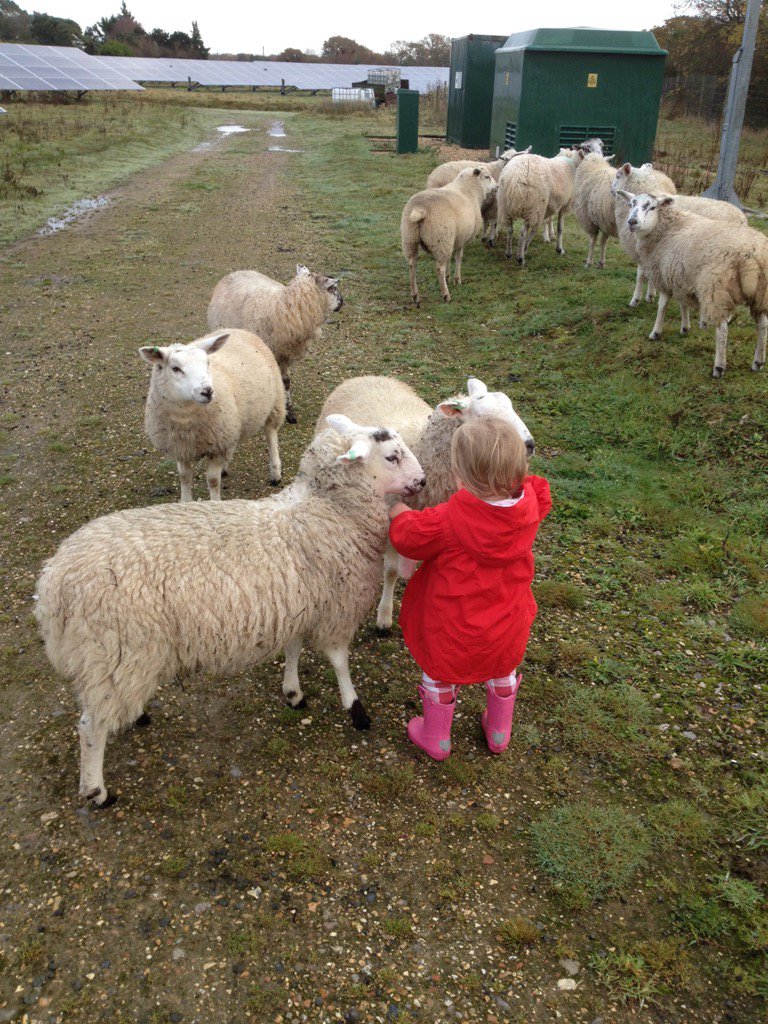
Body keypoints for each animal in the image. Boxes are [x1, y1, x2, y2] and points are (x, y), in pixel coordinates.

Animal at [34, 416, 426, 806]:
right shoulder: (336, 610)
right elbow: (340, 662)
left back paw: (136, 718)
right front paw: (355, 708)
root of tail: (53, 587)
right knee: (91, 727)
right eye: (392, 457)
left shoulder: (301, 603)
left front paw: (293, 692)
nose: (422, 481)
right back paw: (97, 790)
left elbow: (294, 649)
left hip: (118, 660)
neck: (326, 509)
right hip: (114, 650)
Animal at [140, 330, 285, 502]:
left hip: (274, 403)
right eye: (175, 368)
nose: (207, 391)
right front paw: (185, 501)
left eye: (207, 363)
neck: (185, 419)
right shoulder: (181, 447)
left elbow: (213, 480)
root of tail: (239, 330)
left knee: (271, 435)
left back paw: (275, 473)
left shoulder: (217, 447)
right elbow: (184, 477)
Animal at [207, 264, 343, 424]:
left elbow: (286, 382)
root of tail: (236, 272)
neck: (285, 308)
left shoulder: (284, 355)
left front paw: (290, 412)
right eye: (333, 288)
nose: (342, 302)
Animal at [401, 166, 497, 305]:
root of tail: (420, 209)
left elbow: (449, 258)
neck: (469, 189)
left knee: (412, 265)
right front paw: (457, 280)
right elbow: (458, 257)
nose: (497, 186)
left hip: (410, 239)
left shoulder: (452, 239)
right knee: (438, 268)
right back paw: (446, 295)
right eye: (487, 177)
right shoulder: (461, 238)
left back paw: (415, 295)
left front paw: (448, 277)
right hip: (440, 239)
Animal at [619, 191, 768, 377]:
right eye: (631, 204)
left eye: (652, 207)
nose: (632, 222)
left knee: (722, 329)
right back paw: (758, 362)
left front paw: (656, 332)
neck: (666, 228)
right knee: (763, 325)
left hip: (716, 289)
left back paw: (719, 367)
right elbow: (683, 304)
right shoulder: (680, 278)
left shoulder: (664, 276)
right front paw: (685, 327)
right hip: (761, 294)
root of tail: (752, 256)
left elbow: (662, 306)